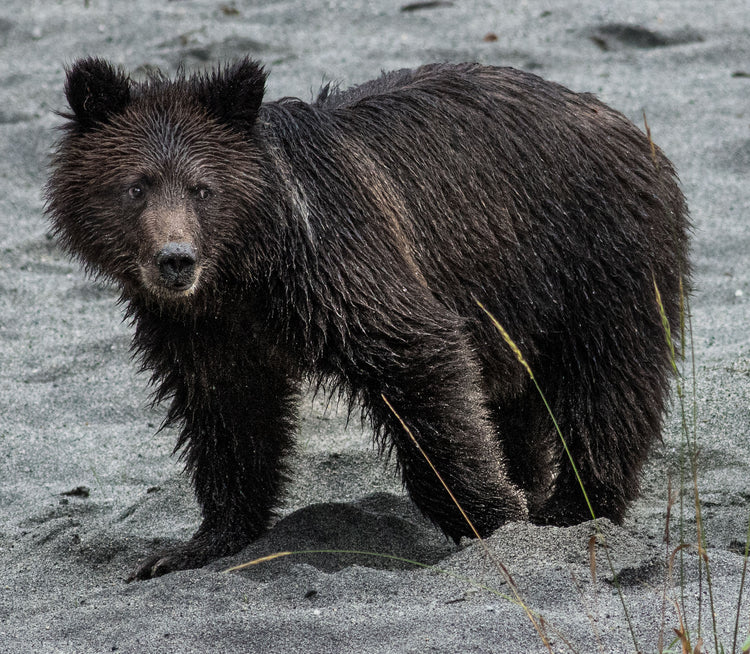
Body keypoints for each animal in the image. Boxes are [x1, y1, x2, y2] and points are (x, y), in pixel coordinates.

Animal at [46, 57, 690, 581]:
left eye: (203, 188)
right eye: (136, 186)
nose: (175, 259)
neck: (245, 271)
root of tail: (628, 126)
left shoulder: (338, 265)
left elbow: (419, 360)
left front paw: (494, 516)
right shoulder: (202, 329)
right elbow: (228, 416)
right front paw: (191, 547)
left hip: (595, 256)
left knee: (607, 383)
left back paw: (574, 510)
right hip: (517, 297)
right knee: (521, 397)